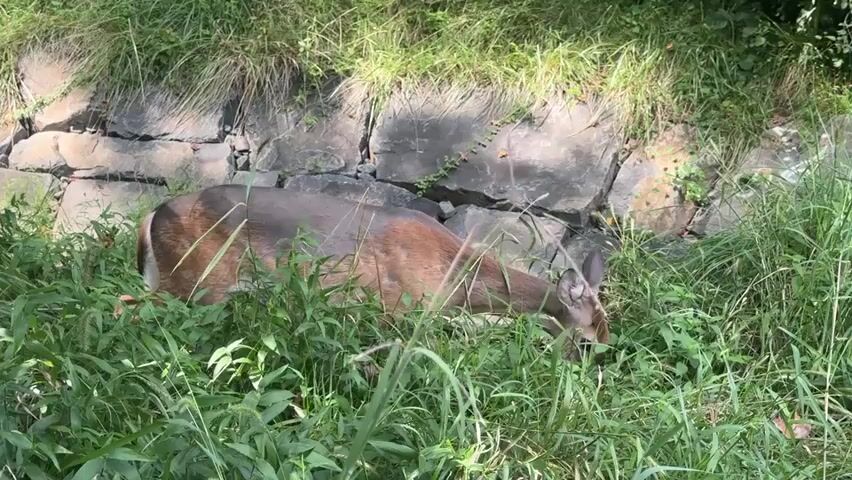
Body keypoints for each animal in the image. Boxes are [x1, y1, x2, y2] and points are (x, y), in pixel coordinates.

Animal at [118, 184, 609, 357]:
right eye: (588, 341)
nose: (592, 373)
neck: (455, 277)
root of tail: (151, 215)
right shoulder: (396, 306)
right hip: (195, 284)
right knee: (126, 307)